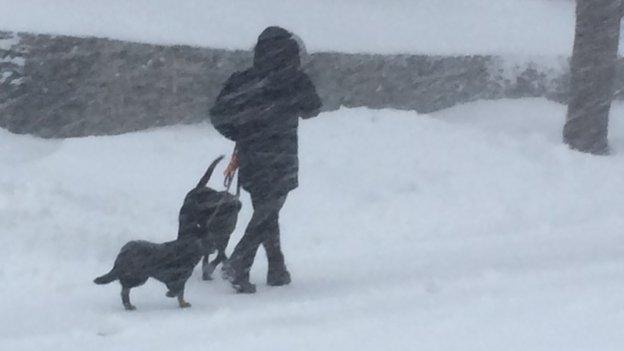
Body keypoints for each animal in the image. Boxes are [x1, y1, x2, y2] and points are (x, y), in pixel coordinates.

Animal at [94, 157, 236, 310]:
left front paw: (182, 302)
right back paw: (129, 305)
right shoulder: (177, 277)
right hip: (139, 276)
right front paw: (172, 296)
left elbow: (180, 294)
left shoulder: (180, 279)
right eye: (210, 240)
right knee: (125, 289)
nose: (216, 247)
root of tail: (120, 257)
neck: (190, 248)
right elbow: (176, 290)